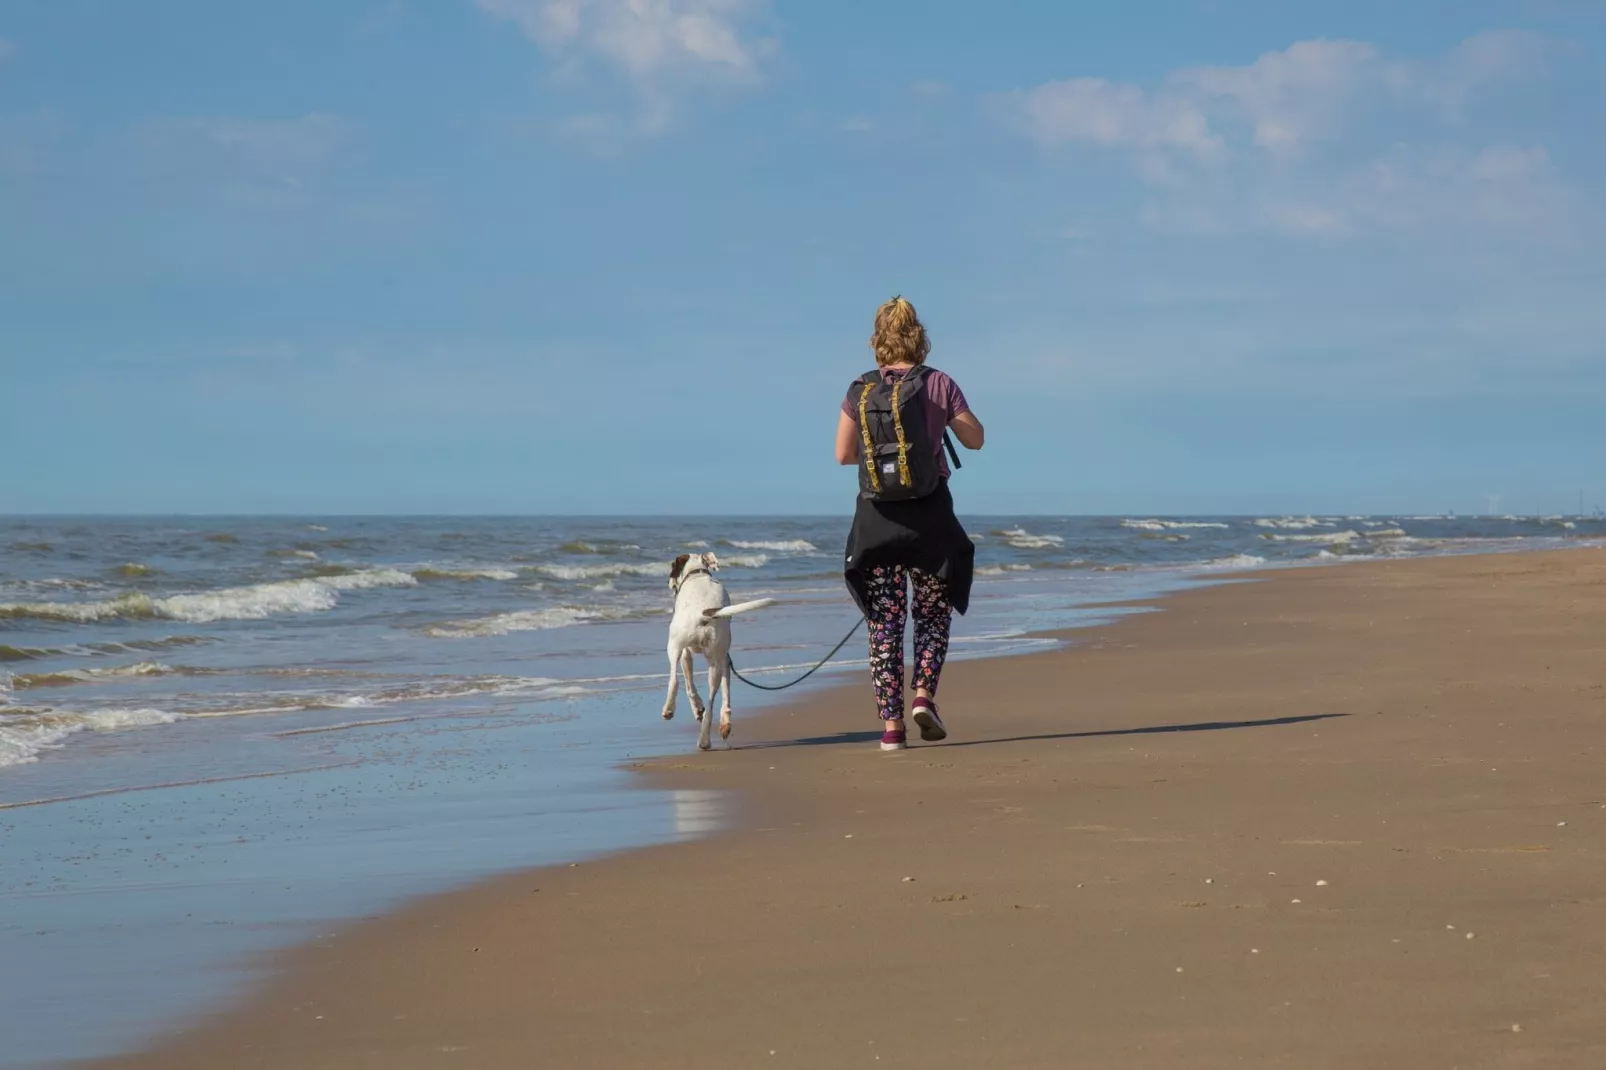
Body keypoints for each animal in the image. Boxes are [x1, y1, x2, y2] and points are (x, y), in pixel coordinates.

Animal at [658, 552, 770, 745]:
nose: (668, 582)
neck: (697, 574)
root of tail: (703, 613)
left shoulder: (685, 654)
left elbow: (690, 686)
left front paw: (696, 708)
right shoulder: (724, 660)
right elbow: (725, 696)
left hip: (673, 647)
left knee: (674, 681)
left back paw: (669, 709)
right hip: (717, 662)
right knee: (712, 701)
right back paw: (705, 739)